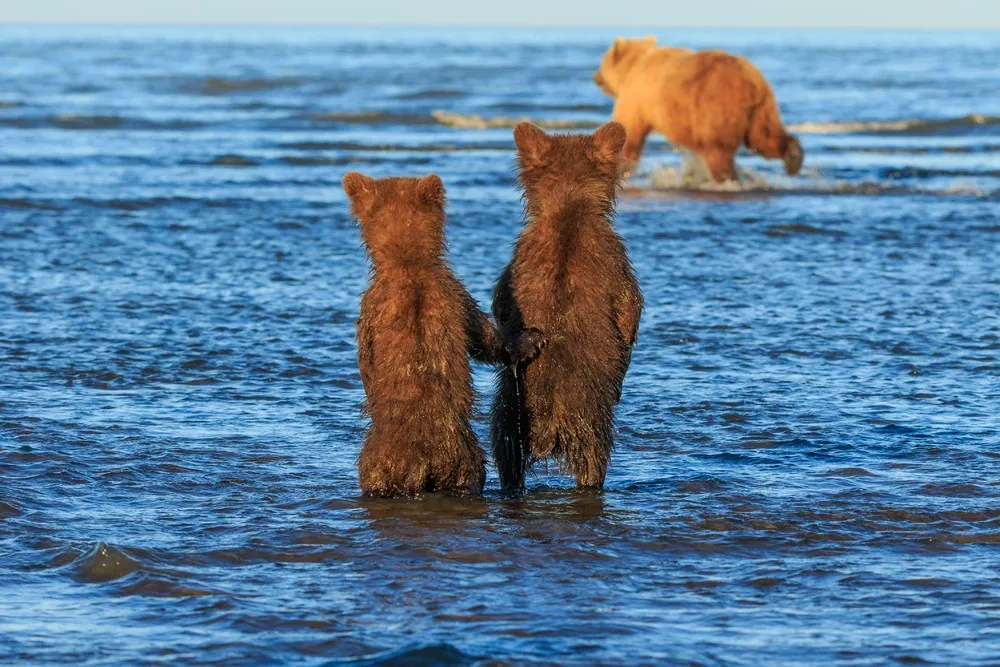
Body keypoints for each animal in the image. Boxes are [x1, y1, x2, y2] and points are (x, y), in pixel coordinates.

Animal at [343, 172, 545, 498]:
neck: (408, 265)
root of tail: (423, 460)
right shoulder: (447, 297)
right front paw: (529, 340)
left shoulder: (377, 305)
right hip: (453, 463)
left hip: (389, 459)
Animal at [490, 122, 644, 491]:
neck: (569, 206)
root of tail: (550, 426)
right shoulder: (614, 260)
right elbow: (629, 309)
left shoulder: (518, 261)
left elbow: (501, 304)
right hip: (589, 420)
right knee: (594, 459)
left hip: (511, 415)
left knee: (506, 455)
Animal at [593, 36, 804, 183]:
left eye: (601, 63)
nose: (595, 76)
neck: (632, 68)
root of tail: (751, 81)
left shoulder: (637, 97)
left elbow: (630, 130)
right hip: (761, 109)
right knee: (763, 137)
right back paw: (793, 157)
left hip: (716, 104)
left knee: (719, 148)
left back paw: (726, 178)